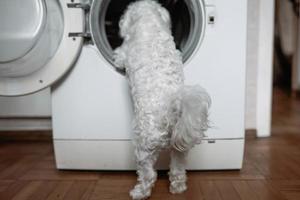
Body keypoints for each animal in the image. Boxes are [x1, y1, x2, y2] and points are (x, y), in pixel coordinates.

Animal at [113, 0, 211, 199]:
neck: (149, 22)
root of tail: (171, 109)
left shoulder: (125, 52)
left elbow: (120, 56)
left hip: (144, 146)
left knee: (148, 174)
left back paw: (139, 192)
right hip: (179, 146)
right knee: (178, 169)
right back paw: (178, 188)